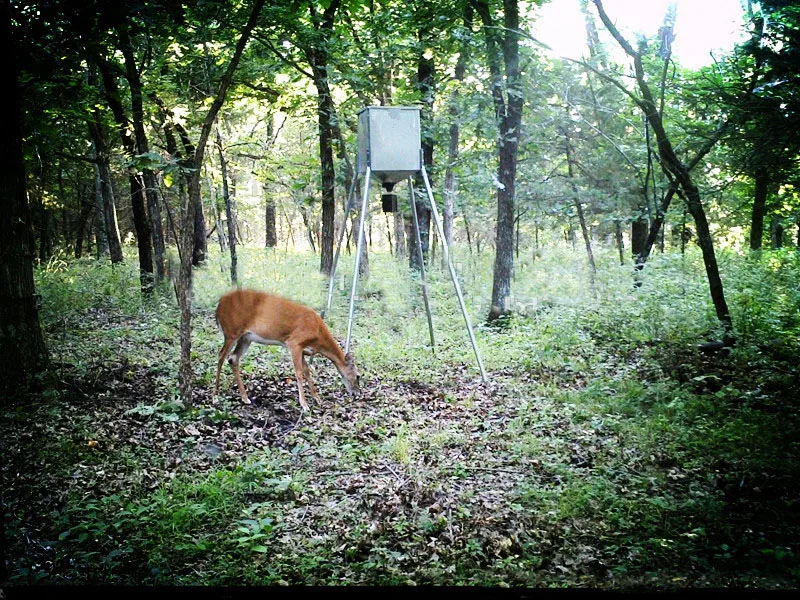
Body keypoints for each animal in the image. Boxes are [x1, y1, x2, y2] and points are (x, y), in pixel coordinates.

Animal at [213, 289, 361, 411]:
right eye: (358, 375)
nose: (357, 393)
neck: (317, 336)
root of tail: (219, 305)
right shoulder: (294, 342)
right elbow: (299, 373)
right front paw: (304, 404)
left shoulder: (301, 348)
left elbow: (307, 370)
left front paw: (317, 398)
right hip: (231, 331)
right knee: (221, 356)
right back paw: (215, 394)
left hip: (245, 337)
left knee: (233, 358)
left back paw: (245, 398)